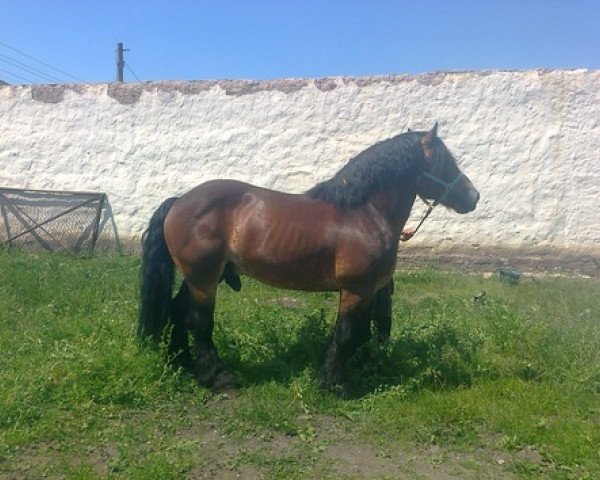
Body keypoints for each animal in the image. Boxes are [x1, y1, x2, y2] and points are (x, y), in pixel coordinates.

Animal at [138, 124, 480, 398]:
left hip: (203, 277)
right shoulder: (357, 290)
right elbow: (346, 335)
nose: (473, 197)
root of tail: (179, 202)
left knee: (177, 311)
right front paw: (335, 384)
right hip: (204, 278)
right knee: (198, 322)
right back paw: (219, 378)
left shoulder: (368, 292)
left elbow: (361, 333)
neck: (362, 212)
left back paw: (184, 364)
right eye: (446, 162)